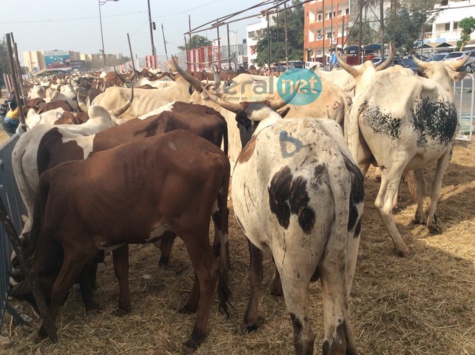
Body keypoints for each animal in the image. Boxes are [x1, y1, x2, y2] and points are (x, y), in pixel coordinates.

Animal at [207, 90, 364, 354]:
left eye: (239, 122)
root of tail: (332, 162)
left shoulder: (252, 235)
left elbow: (255, 273)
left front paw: (250, 319)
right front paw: (274, 288)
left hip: (294, 268)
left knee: (305, 336)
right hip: (342, 262)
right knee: (335, 337)